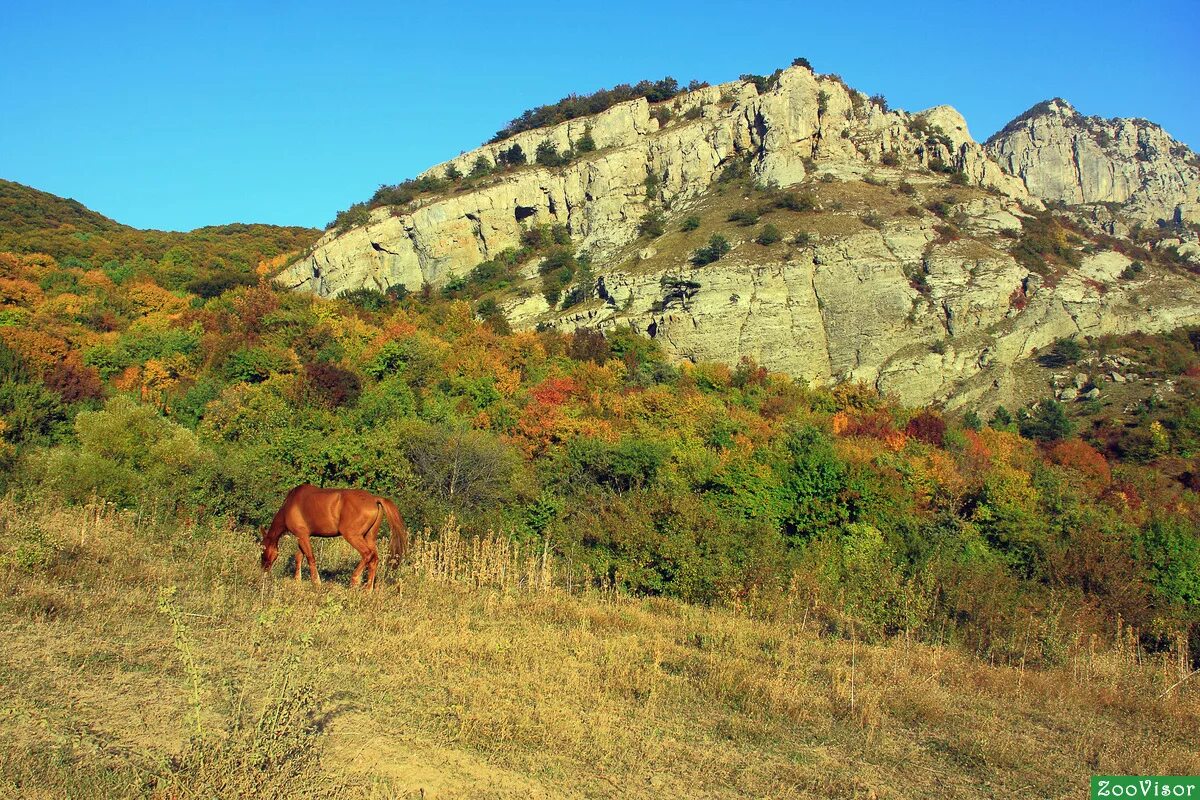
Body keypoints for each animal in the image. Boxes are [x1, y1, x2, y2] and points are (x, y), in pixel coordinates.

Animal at [260, 484, 410, 592]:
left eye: (262, 550)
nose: (263, 570)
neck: (290, 505)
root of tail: (374, 499)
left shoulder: (302, 536)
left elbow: (310, 558)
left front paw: (316, 582)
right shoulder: (301, 537)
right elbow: (299, 557)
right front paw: (297, 580)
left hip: (353, 536)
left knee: (367, 554)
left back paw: (355, 580)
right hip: (369, 537)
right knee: (374, 559)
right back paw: (368, 589)